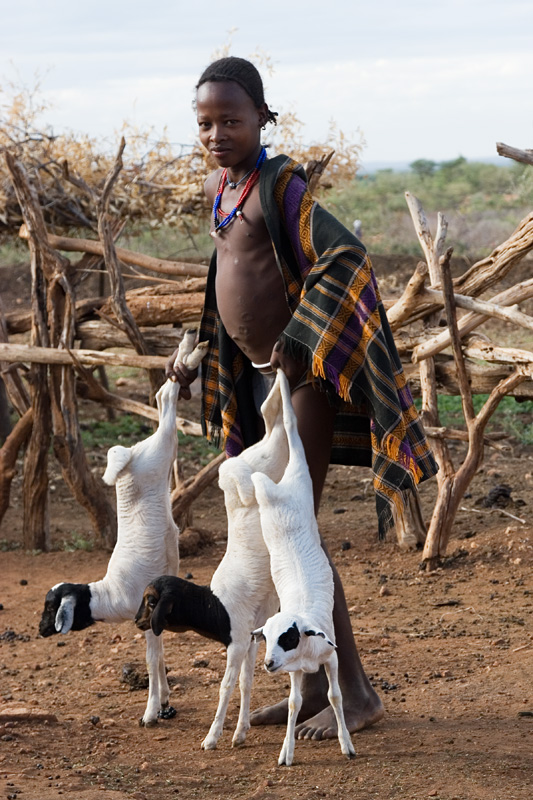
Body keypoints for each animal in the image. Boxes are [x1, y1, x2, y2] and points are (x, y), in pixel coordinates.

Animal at [38, 330, 205, 727]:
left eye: (51, 607)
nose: (39, 630)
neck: (109, 593)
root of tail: (130, 456)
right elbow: (159, 658)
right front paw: (164, 702)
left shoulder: (147, 615)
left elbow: (152, 659)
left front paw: (151, 711)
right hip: (158, 451)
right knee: (161, 398)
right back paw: (189, 350)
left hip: (160, 450)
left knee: (168, 404)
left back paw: (192, 356)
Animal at [135, 374, 288, 748]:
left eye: (151, 600)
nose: (137, 622)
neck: (213, 605)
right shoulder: (251, 640)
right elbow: (246, 683)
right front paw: (240, 732)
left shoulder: (237, 642)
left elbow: (225, 686)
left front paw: (212, 737)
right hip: (264, 454)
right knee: (271, 420)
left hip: (250, 465)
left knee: (264, 431)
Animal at [251, 370, 356, 766]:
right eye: (266, 638)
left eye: (289, 637)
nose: (267, 664)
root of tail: (283, 492)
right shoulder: (294, 671)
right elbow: (295, 702)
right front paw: (286, 753)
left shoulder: (331, 658)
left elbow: (335, 696)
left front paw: (346, 744)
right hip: (271, 500)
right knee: (262, 472)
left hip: (300, 481)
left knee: (292, 442)